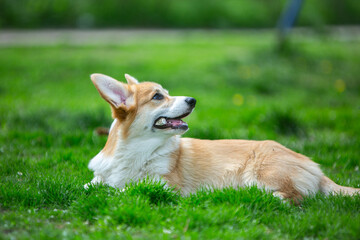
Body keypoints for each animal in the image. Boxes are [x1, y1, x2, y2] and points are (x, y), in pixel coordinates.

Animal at [86, 73, 358, 202]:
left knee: (293, 197)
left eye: (166, 93)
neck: (137, 151)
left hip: (260, 175)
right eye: (157, 96)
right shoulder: (98, 179)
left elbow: (126, 190)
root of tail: (317, 169)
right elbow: (94, 187)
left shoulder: (164, 186)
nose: (193, 100)